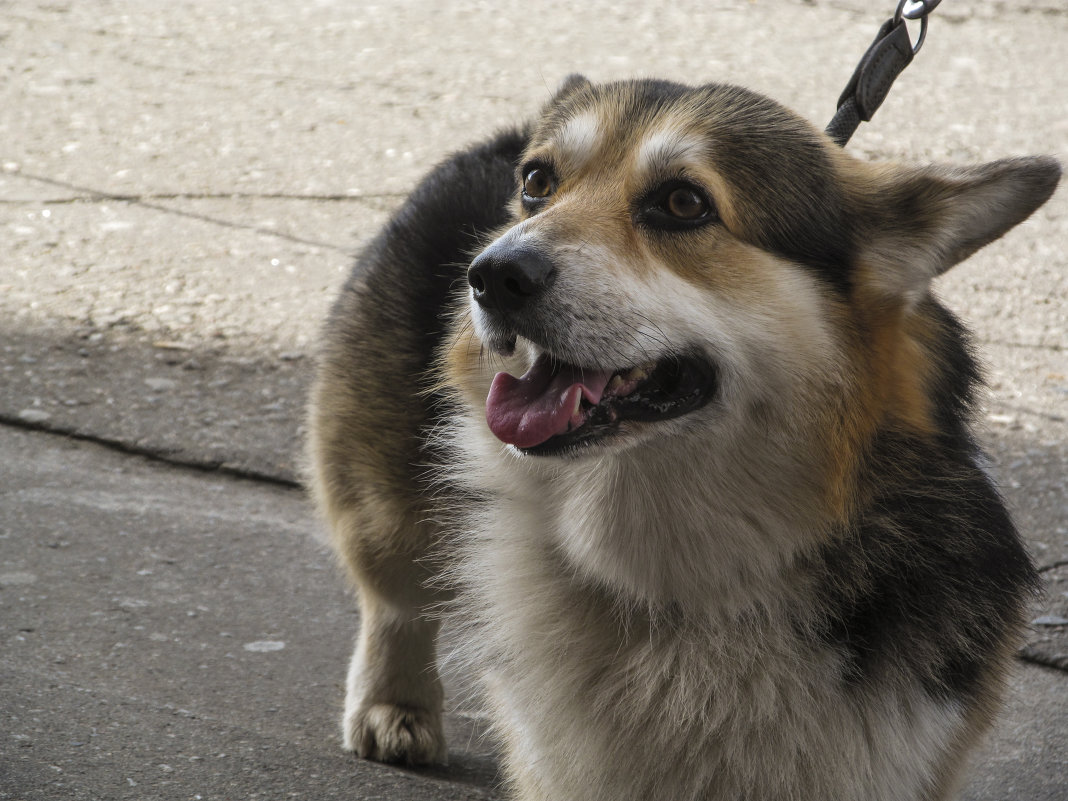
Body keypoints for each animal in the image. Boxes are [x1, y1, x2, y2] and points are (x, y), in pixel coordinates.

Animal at [307, 76, 1059, 801]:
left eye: (682, 202)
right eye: (538, 183)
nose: (492, 276)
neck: (684, 578)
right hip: (386, 501)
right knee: (396, 597)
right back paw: (392, 706)